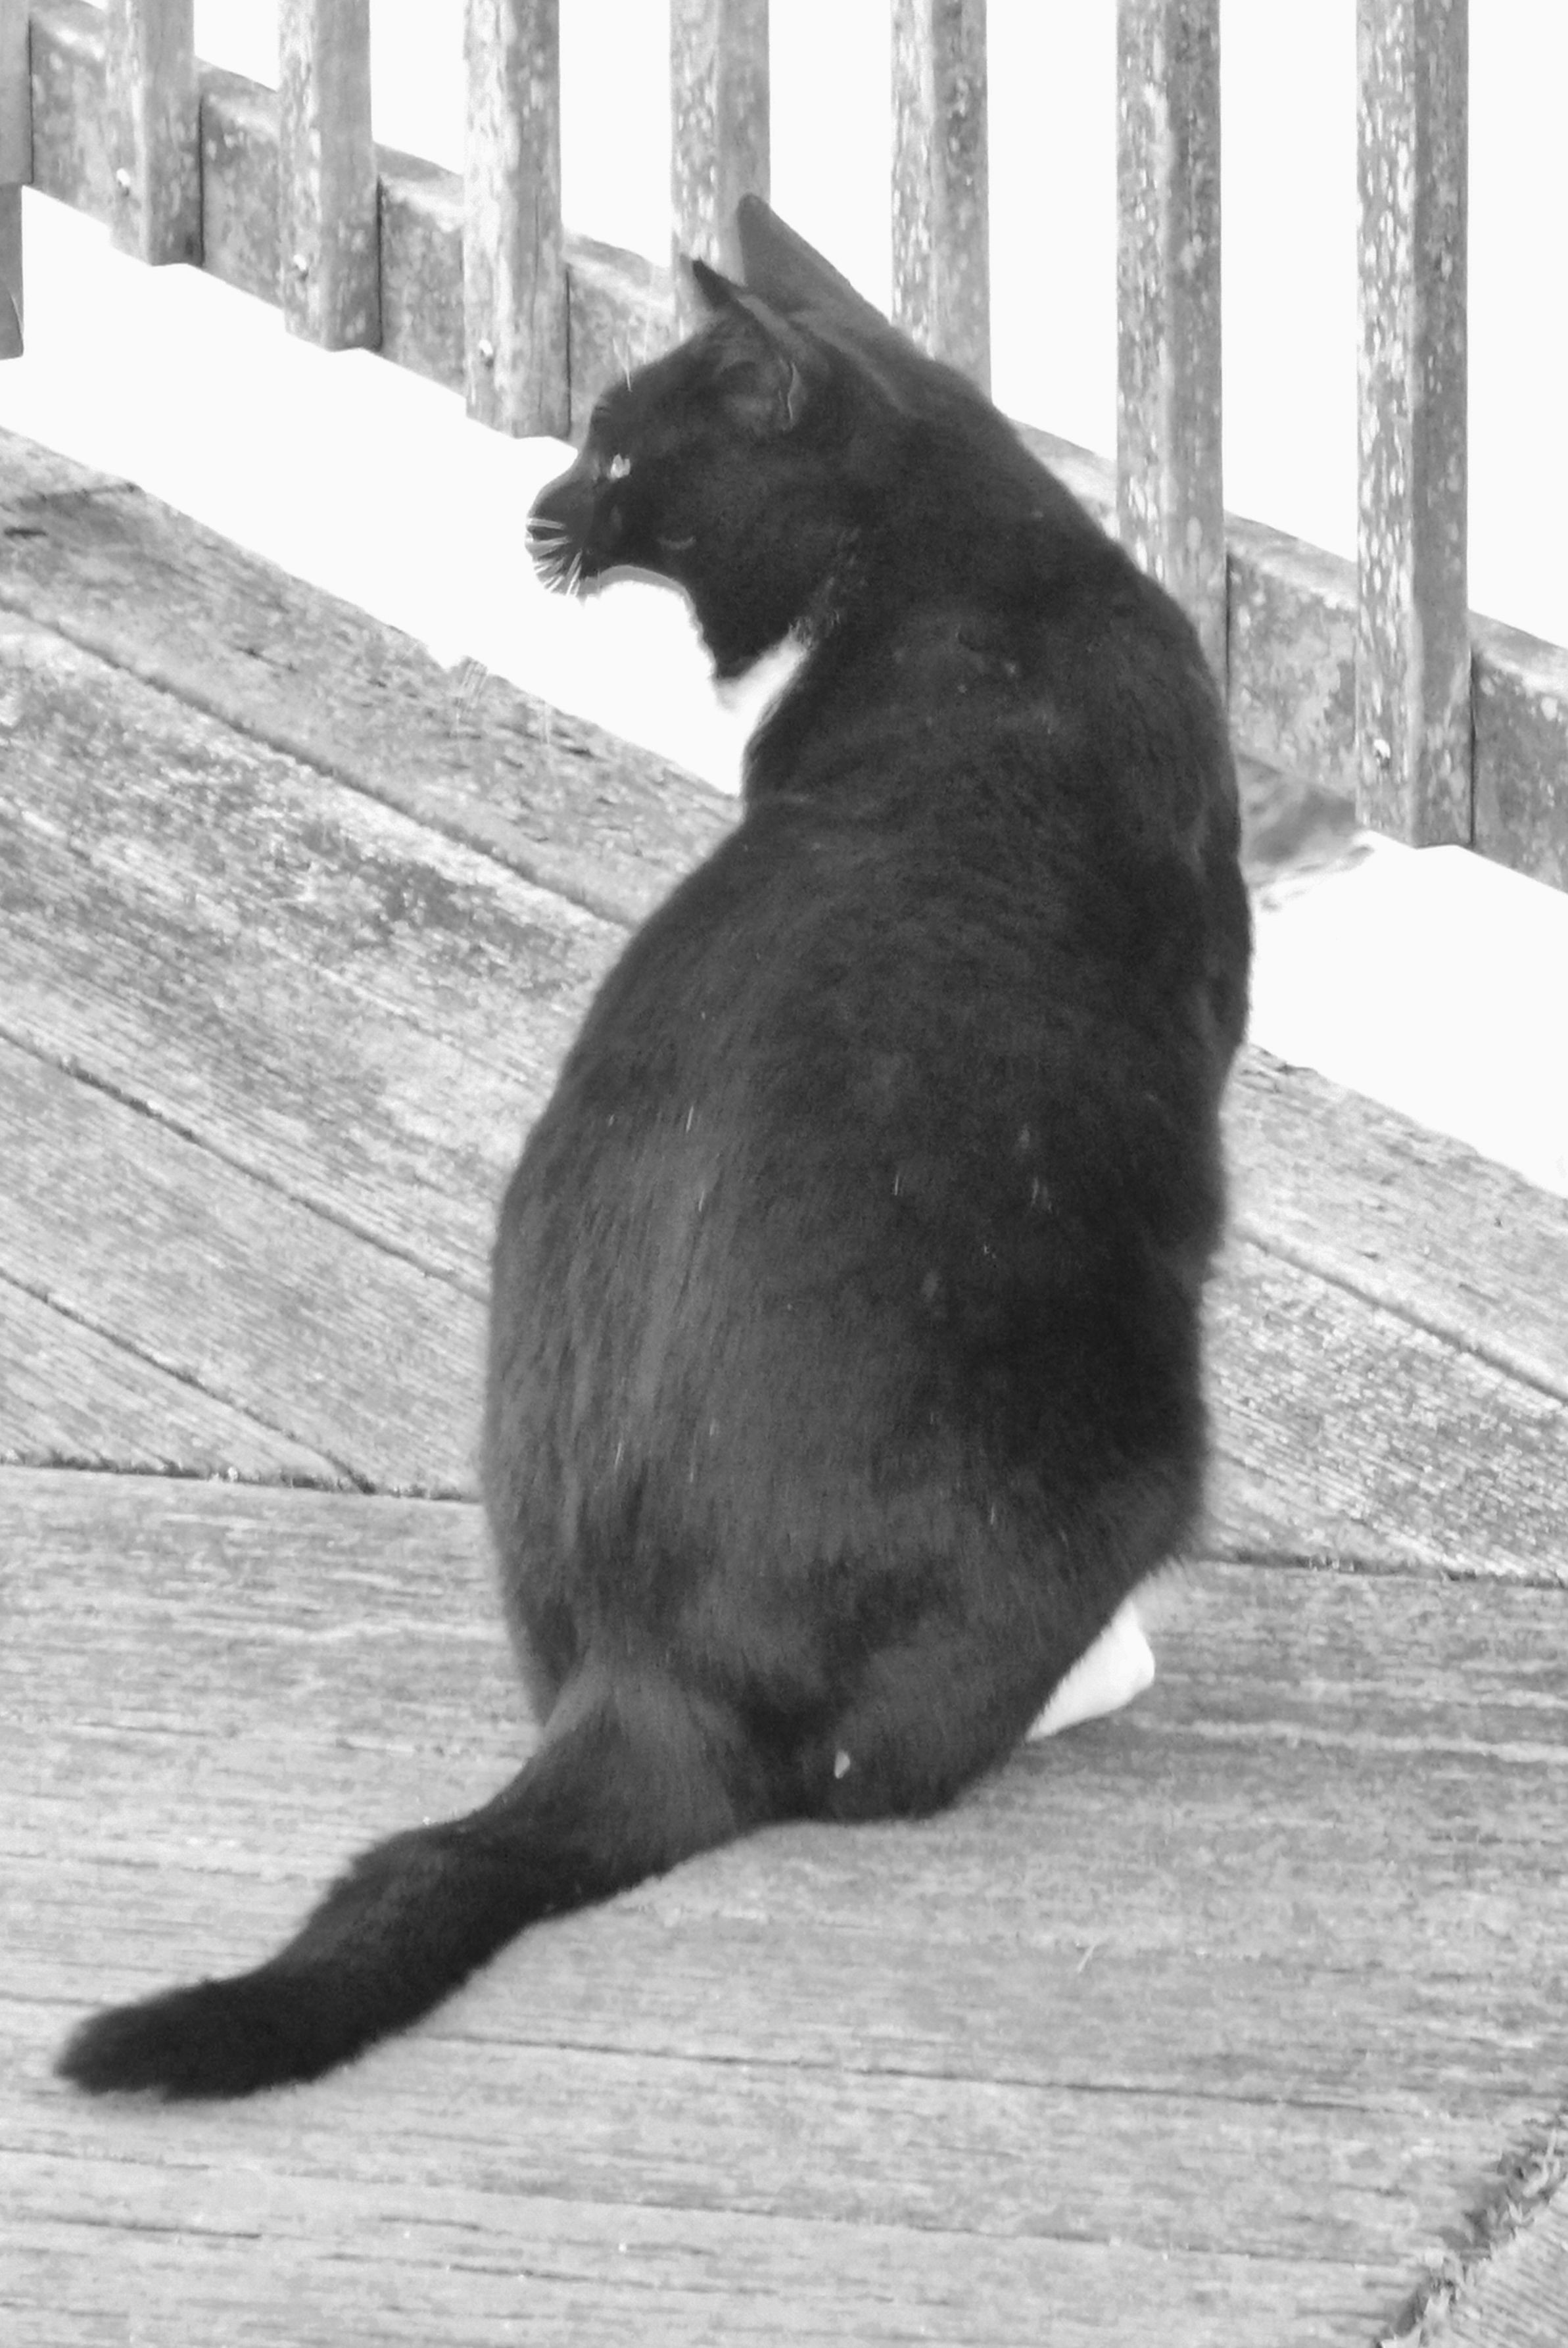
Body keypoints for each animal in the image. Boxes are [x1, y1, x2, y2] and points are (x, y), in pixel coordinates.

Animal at [58, 196, 1250, 2099]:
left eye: (624, 453)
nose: (538, 505)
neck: (978, 573)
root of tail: (642, 1677)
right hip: (1121, 1421)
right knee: (885, 1763)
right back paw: (1108, 1661)